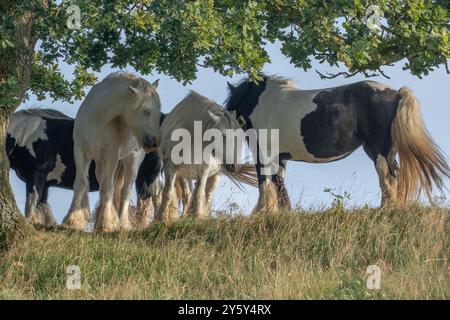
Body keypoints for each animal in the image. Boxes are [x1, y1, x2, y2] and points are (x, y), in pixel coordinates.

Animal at [6, 109, 163, 226]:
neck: (26, 135)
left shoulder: (36, 176)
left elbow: (31, 205)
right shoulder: (44, 183)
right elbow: (43, 208)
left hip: (148, 173)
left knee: (152, 197)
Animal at [62, 72, 162, 232]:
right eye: (146, 111)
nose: (154, 143)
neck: (97, 118)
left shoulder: (111, 156)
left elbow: (107, 189)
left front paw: (107, 224)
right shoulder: (80, 152)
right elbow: (80, 184)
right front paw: (72, 220)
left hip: (132, 160)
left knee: (125, 191)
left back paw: (122, 223)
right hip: (100, 163)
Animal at [155, 91, 255, 221]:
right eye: (223, 135)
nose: (233, 166)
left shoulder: (204, 170)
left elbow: (199, 193)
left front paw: (197, 216)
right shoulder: (170, 167)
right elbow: (167, 192)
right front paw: (160, 218)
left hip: (214, 175)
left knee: (206, 195)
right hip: (183, 174)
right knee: (187, 194)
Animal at [227, 74, 448, 211]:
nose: (230, 166)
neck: (260, 102)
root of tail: (396, 93)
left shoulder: (263, 154)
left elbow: (265, 182)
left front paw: (263, 212)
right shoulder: (280, 157)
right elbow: (279, 184)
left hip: (379, 149)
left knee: (387, 176)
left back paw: (387, 208)